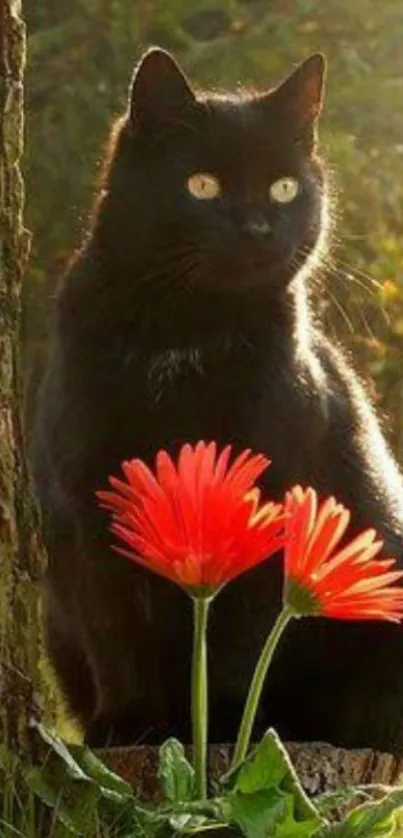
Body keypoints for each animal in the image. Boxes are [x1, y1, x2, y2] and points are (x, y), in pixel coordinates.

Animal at [32, 47, 403, 756]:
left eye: (284, 187)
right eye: (201, 185)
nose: (258, 227)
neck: (186, 336)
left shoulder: (271, 492)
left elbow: (239, 641)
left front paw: (225, 730)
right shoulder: (90, 506)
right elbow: (115, 629)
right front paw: (130, 726)